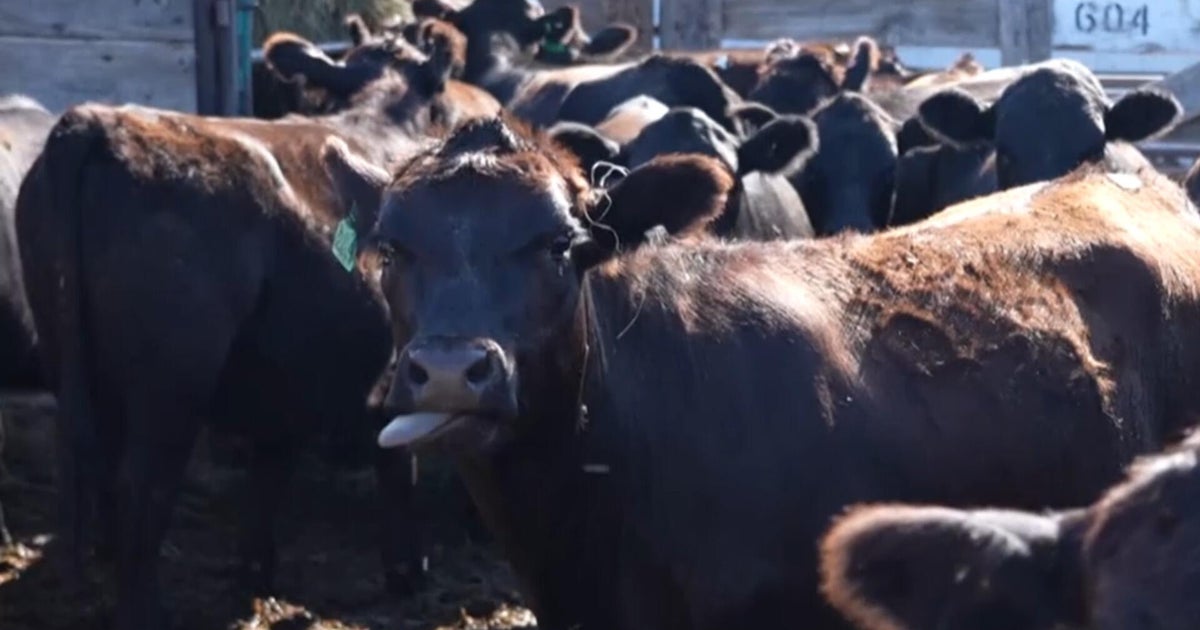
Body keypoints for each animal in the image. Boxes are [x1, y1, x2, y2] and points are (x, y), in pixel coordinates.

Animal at [13, 24, 499, 630]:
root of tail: (93, 122)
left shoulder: (282, 375)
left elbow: (269, 470)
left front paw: (254, 574)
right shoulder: (395, 366)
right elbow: (393, 461)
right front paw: (408, 572)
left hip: (76, 362)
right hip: (171, 385)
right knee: (140, 488)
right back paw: (144, 609)